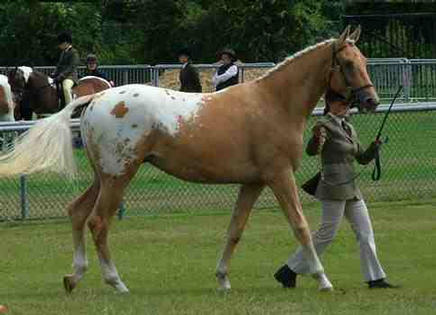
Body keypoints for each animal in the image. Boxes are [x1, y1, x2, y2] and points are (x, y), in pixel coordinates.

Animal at [0, 25, 378, 294]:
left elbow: (235, 230)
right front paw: (322, 279)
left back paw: (74, 276)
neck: (273, 102)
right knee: (98, 222)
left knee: (77, 213)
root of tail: (96, 99)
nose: (371, 101)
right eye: (347, 64)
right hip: (119, 177)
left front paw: (223, 278)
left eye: (364, 62)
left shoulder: (253, 182)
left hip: (103, 177)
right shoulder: (279, 176)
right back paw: (117, 283)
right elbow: (300, 225)